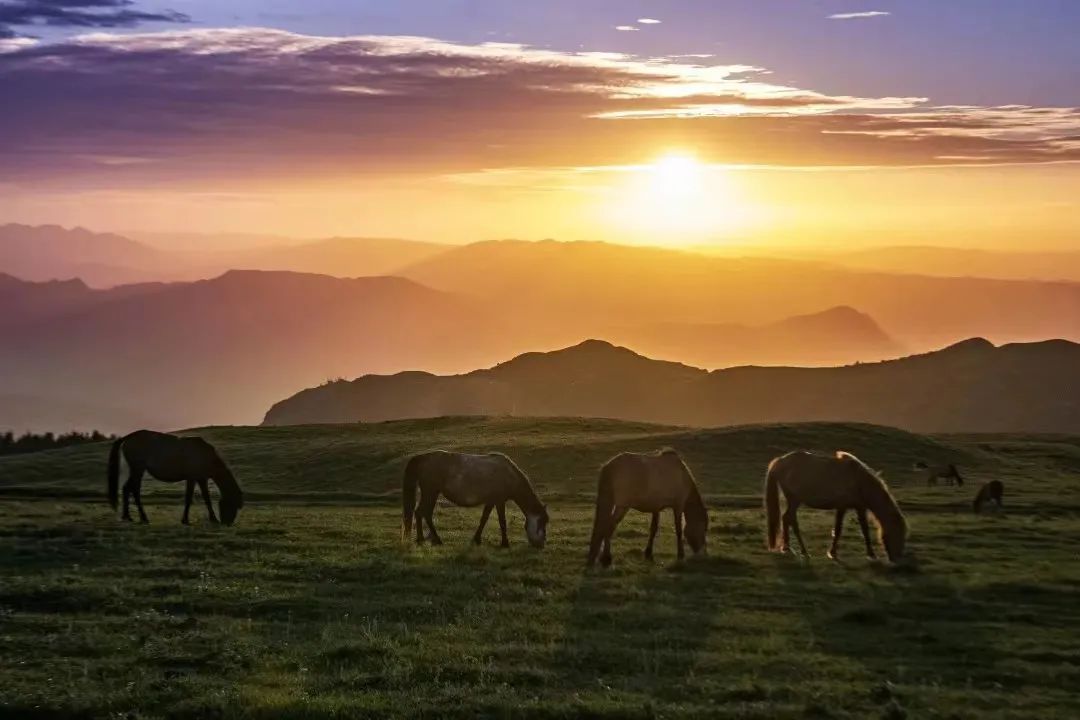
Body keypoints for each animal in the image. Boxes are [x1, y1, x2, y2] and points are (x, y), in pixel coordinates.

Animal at [106, 431, 244, 526]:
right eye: (233, 504)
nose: (227, 523)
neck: (206, 456)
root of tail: (129, 437)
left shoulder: (201, 479)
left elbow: (206, 499)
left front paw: (213, 519)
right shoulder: (192, 478)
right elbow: (189, 498)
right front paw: (186, 520)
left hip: (136, 470)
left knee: (126, 489)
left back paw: (127, 517)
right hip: (138, 469)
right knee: (134, 490)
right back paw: (143, 518)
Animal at [401, 453, 548, 548]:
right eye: (542, 522)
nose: (541, 545)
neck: (509, 474)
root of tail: (422, 458)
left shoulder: (491, 501)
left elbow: (484, 519)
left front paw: (477, 540)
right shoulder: (499, 501)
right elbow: (502, 521)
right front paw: (505, 544)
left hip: (431, 493)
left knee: (422, 513)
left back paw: (423, 540)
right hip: (430, 492)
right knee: (423, 512)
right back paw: (431, 540)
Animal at [764, 451, 907, 561]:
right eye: (898, 532)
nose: (896, 559)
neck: (858, 480)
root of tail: (780, 461)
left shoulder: (860, 508)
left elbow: (865, 530)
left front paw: (871, 554)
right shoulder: (842, 507)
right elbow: (838, 530)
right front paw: (832, 553)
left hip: (793, 501)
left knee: (786, 519)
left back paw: (787, 548)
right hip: (795, 500)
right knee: (790, 519)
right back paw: (803, 551)